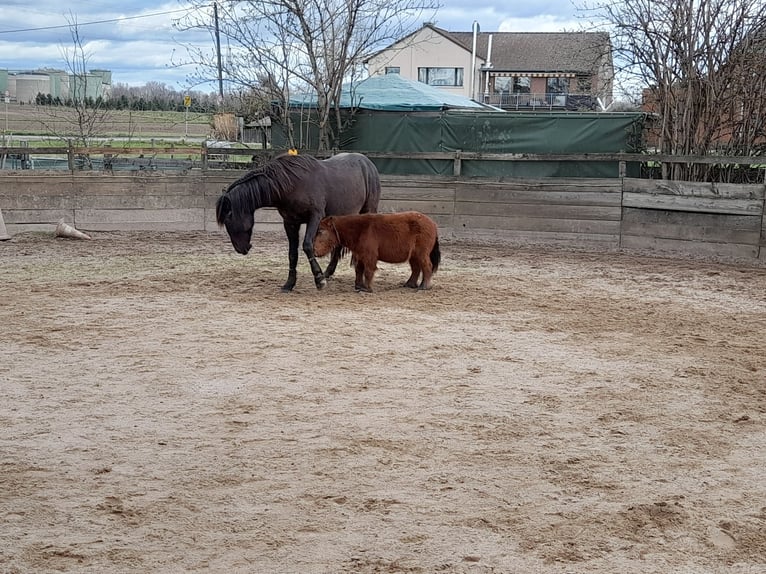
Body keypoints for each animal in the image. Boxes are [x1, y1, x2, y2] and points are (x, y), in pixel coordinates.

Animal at [214, 153, 382, 292]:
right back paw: (329, 272)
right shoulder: (290, 223)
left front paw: (319, 280)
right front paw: (289, 284)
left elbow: (307, 245)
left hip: (367, 210)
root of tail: (368, 163)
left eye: (228, 220)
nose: (241, 249)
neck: (292, 183)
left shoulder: (315, 217)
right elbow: (292, 253)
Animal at [314, 212, 444, 292]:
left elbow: (368, 271)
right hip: (413, 256)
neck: (360, 229)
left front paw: (367, 289)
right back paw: (410, 284)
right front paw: (359, 286)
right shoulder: (360, 255)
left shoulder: (369, 256)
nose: (314, 251)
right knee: (416, 269)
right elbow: (359, 270)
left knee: (427, 267)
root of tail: (433, 224)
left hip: (422, 254)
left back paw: (424, 286)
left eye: (320, 231)